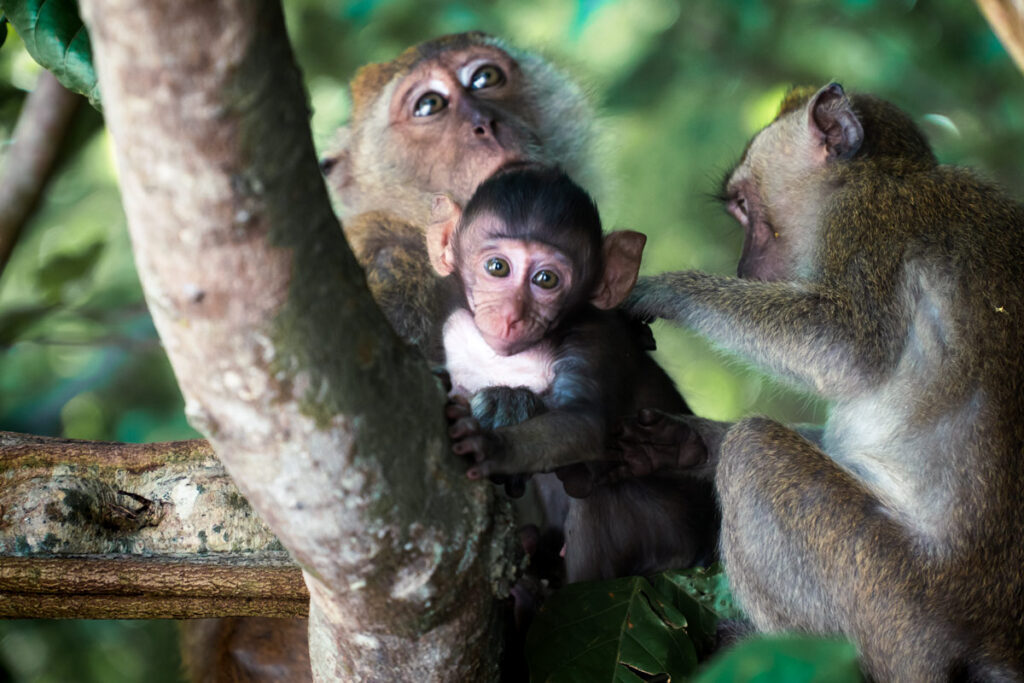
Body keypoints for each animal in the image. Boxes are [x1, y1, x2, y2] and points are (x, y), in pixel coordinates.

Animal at [428, 163, 716, 581]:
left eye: (546, 279)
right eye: (497, 268)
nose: (511, 315)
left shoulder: (595, 337)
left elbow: (583, 423)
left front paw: (495, 433)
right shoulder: (457, 333)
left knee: (599, 493)